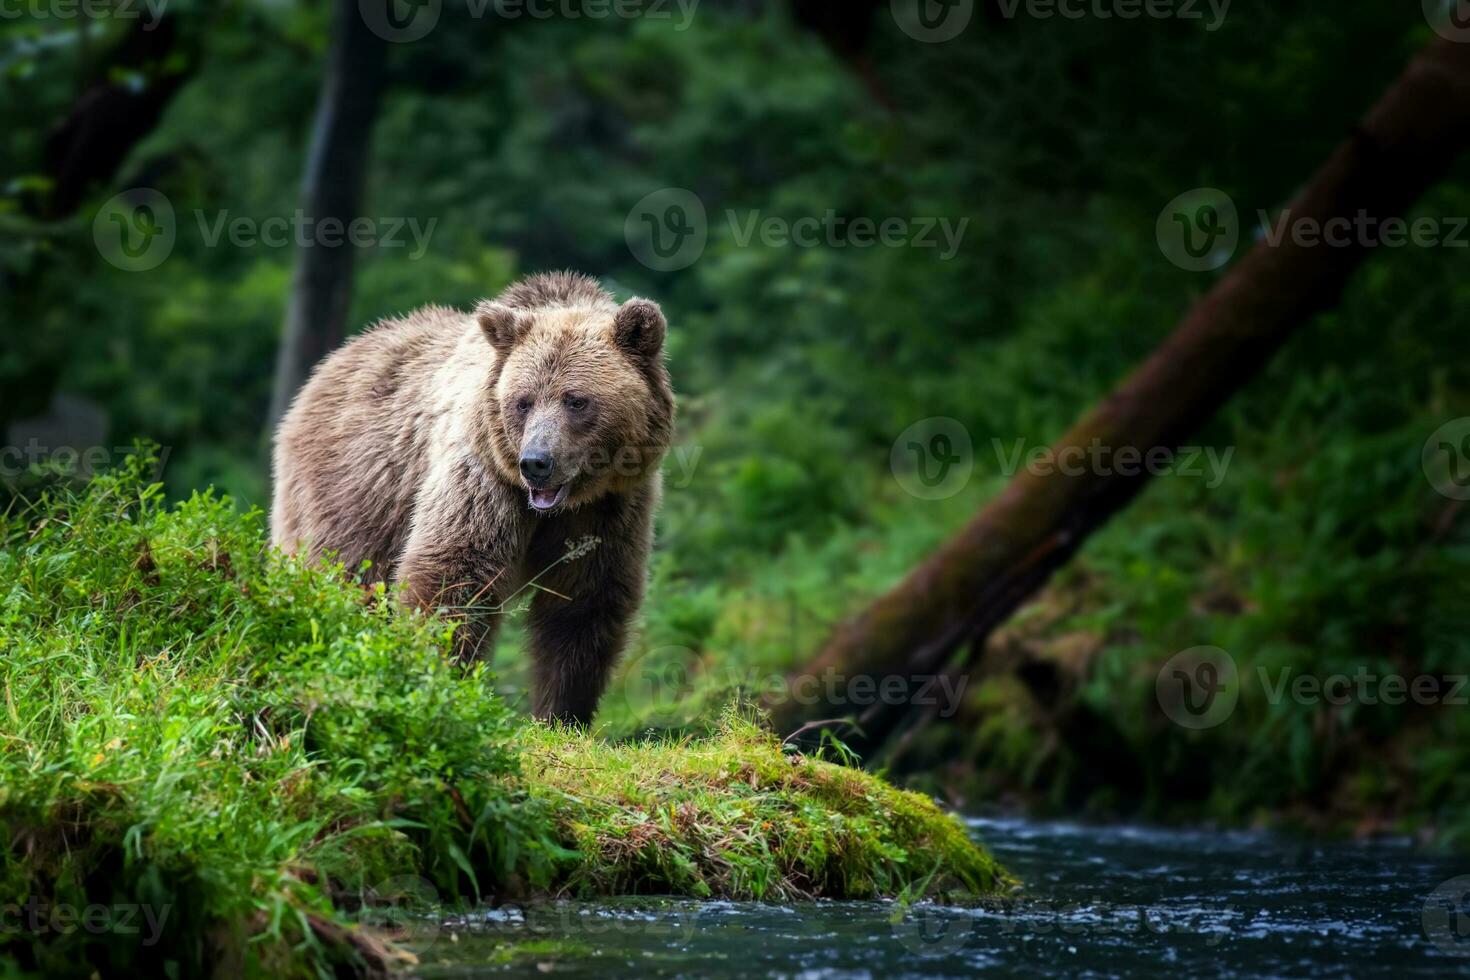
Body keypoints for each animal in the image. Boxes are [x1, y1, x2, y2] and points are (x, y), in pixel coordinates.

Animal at [269, 271, 673, 725]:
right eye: (523, 401)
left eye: (576, 400)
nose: (536, 462)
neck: (558, 505)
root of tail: (326, 367)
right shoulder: (484, 479)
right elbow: (454, 574)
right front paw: (444, 684)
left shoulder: (610, 508)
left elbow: (584, 602)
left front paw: (561, 714)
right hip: (354, 492)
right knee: (343, 577)